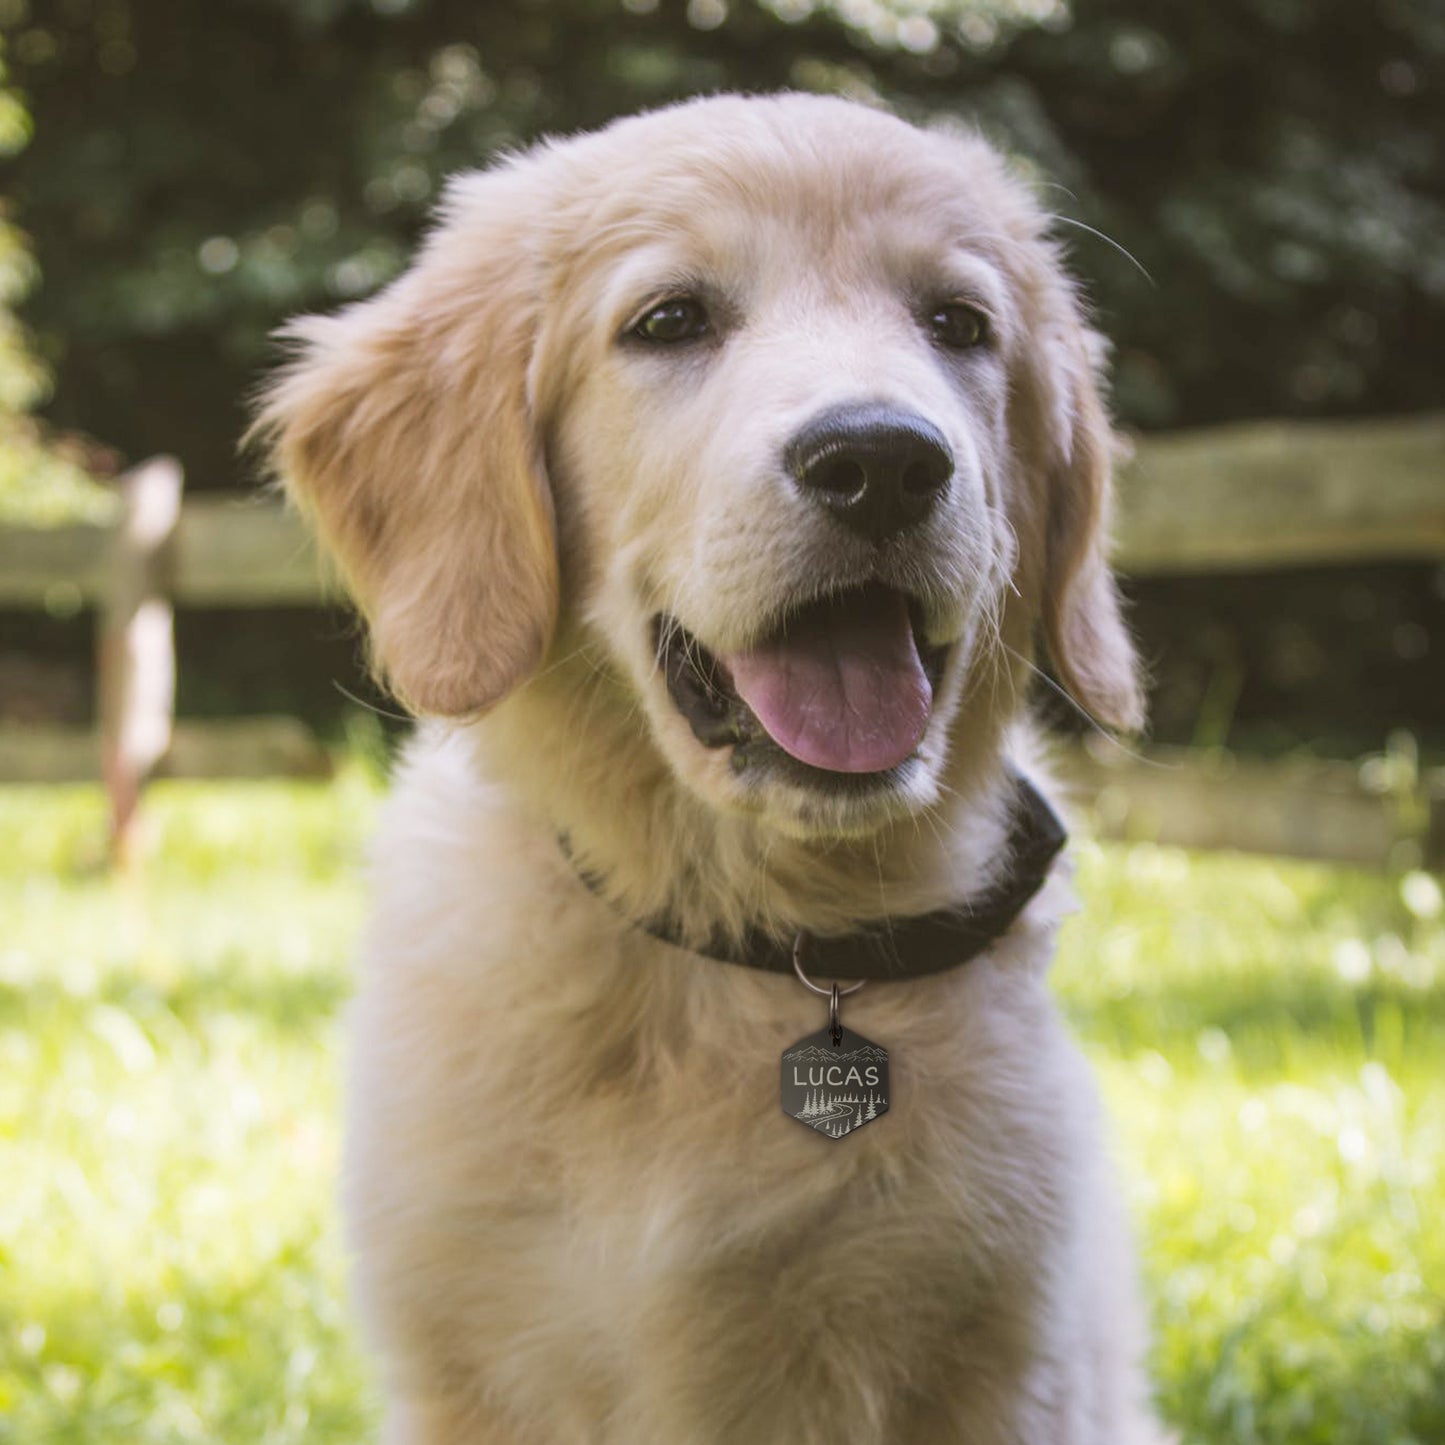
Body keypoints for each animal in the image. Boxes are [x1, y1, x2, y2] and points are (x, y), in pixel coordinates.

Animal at [257, 93, 1161, 1445]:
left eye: (956, 324)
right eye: (670, 319)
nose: (882, 460)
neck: (751, 934)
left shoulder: (1009, 1366)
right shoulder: (465, 1366)